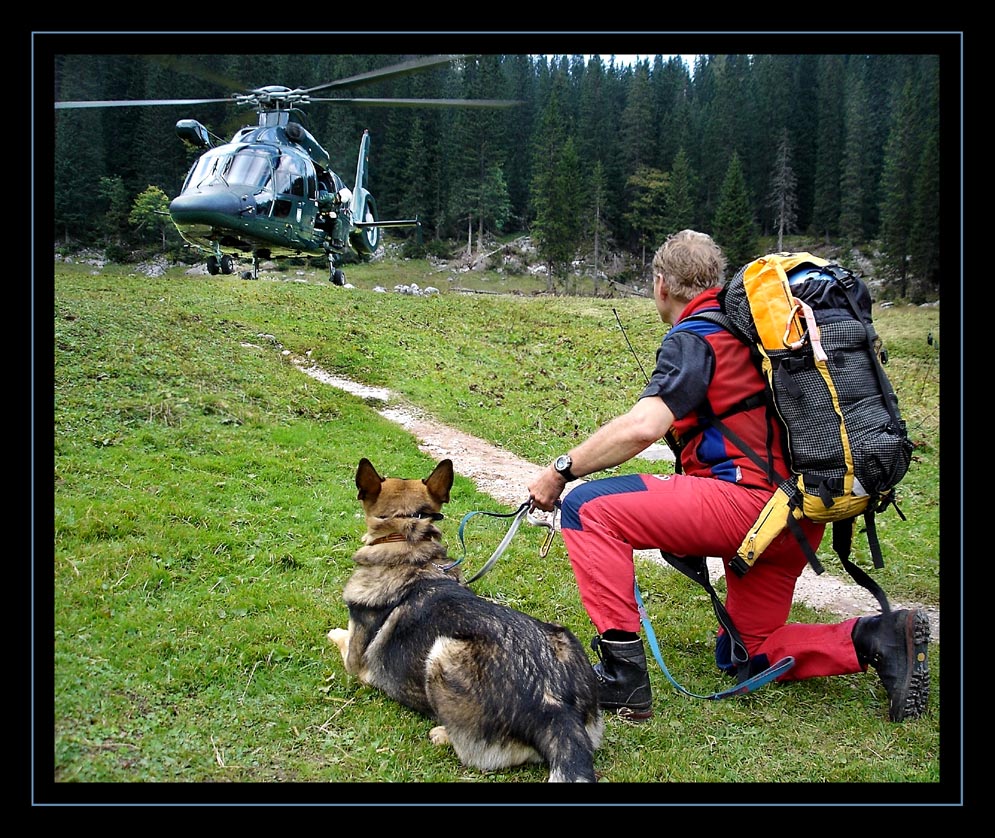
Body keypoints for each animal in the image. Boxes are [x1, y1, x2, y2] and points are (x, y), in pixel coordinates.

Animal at [330, 460, 604, 780]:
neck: (410, 548)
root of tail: (555, 705)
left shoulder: (355, 664)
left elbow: (340, 637)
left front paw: (333, 632)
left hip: (442, 652)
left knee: (469, 752)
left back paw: (442, 734)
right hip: (564, 637)